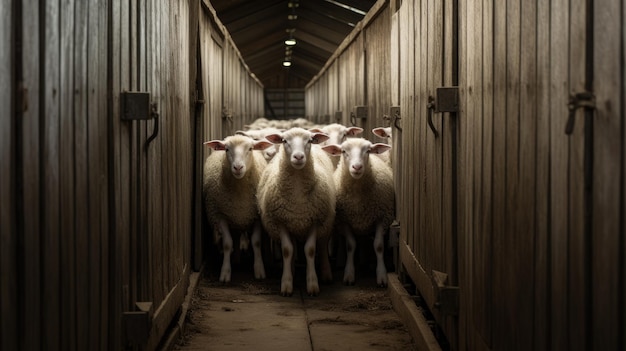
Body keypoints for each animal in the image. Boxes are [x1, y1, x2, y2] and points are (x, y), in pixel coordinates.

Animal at [202, 134, 272, 284]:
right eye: (227, 149)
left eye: (250, 149)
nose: (238, 167)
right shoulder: (220, 215)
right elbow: (228, 244)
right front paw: (225, 273)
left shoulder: (256, 216)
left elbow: (256, 242)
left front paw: (259, 270)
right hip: (233, 217)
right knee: (234, 237)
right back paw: (235, 260)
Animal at [255, 127, 336, 296]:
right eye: (284, 141)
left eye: (310, 140)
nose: (298, 157)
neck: (298, 193)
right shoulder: (281, 221)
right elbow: (287, 250)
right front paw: (286, 284)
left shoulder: (315, 220)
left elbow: (310, 250)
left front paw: (312, 285)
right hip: (293, 224)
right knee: (292, 247)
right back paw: (291, 270)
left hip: (327, 222)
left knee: (322, 245)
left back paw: (326, 274)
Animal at [320, 139, 392, 288]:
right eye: (343, 151)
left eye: (368, 151)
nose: (357, 167)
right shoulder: (344, 221)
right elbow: (350, 245)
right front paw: (349, 274)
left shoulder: (382, 218)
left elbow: (378, 246)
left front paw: (382, 276)